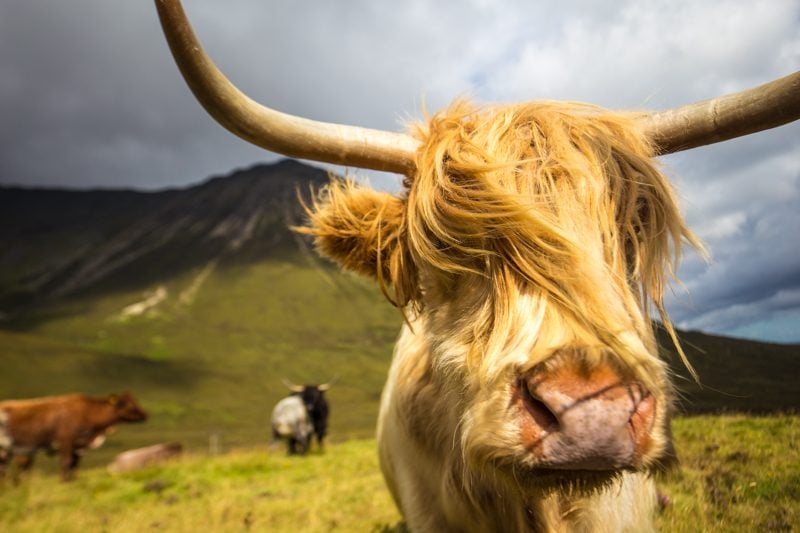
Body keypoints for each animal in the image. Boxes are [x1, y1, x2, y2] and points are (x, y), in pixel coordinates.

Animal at [0, 390, 148, 482]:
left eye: (135, 401)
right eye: (127, 404)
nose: (145, 414)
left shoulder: (78, 445)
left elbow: (75, 464)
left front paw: (72, 481)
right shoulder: (65, 440)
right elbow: (66, 463)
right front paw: (64, 482)